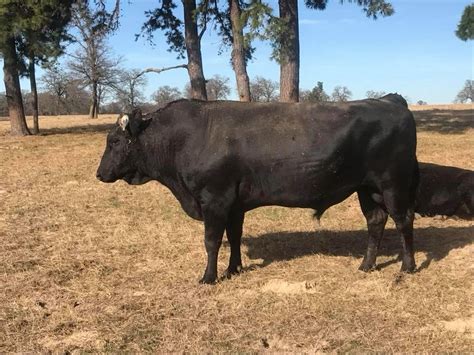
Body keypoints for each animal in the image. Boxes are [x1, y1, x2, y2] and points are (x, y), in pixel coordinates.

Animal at [96, 96, 418, 286]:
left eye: (114, 141)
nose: (99, 174)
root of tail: (391, 100)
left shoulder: (214, 199)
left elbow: (212, 241)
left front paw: (209, 277)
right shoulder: (234, 204)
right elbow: (234, 237)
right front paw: (234, 269)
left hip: (393, 184)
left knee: (404, 221)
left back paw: (407, 267)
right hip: (368, 189)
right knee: (376, 222)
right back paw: (366, 265)